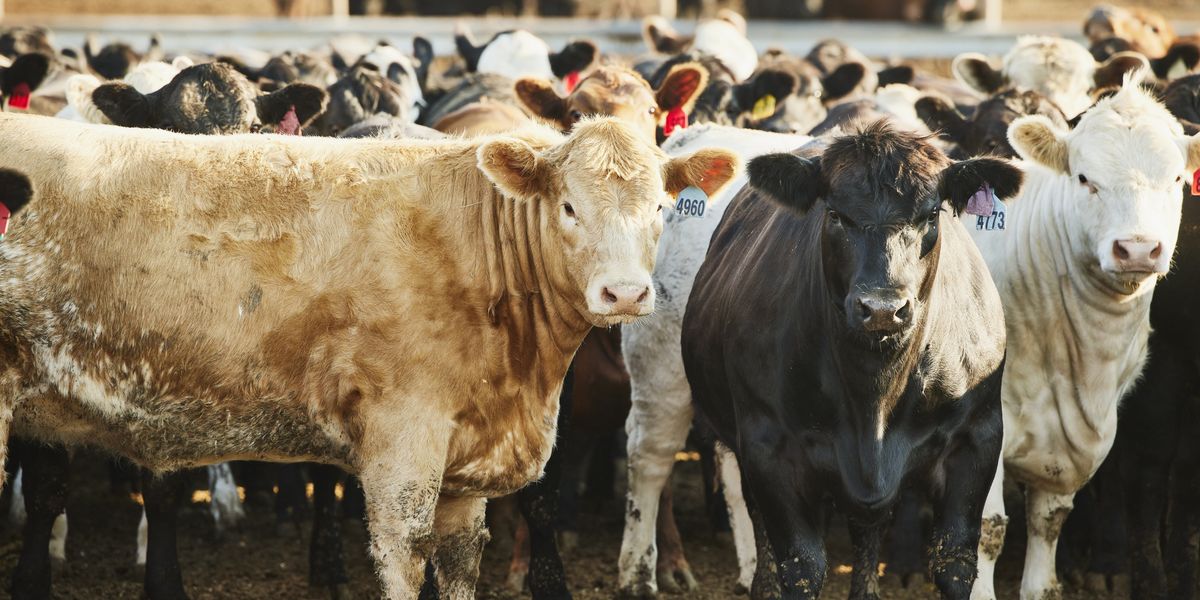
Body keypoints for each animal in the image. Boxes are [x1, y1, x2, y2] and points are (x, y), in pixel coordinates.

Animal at [0, 113, 736, 599]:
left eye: (662, 207)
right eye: (569, 207)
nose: (625, 292)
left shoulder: (466, 461)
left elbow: (460, 561)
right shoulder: (402, 442)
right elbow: (405, 555)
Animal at [679, 120, 1019, 600]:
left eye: (930, 216)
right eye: (836, 215)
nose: (881, 308)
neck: (873, 398)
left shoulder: (977, 437)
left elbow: (953, 562)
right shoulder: (768, 447)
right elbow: (802, 565)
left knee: (867, 531)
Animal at [968, 80, 1198, 600]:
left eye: (1176, 179)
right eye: (1084, 178)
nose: (1137, 249)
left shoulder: (1075, 443)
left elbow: (1050, 522)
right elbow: (988, 530)